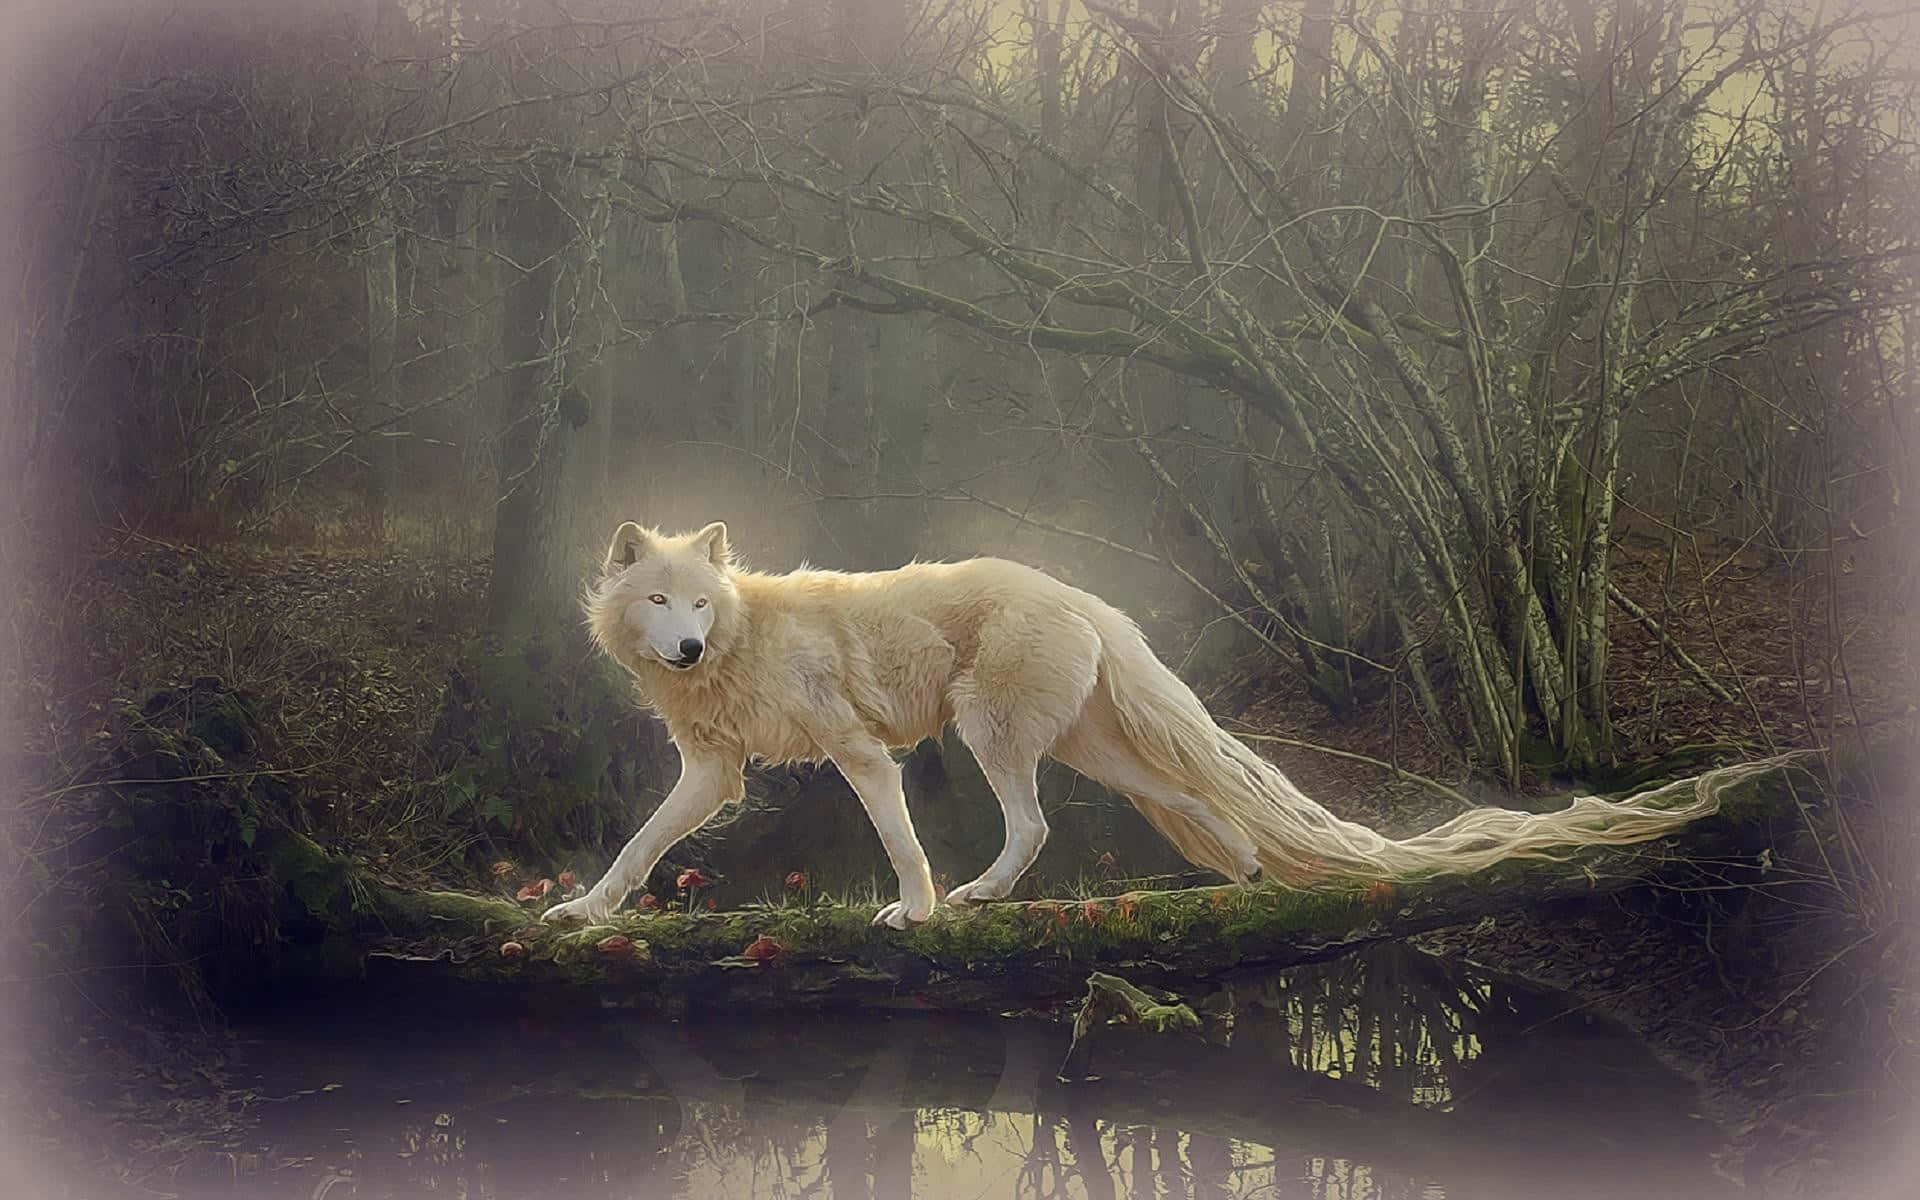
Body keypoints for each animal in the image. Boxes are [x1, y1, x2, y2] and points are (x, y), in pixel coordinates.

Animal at [543, 520, 1729, 929]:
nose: (684, 649)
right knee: (1199, 805)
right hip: (1099, 757)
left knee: (1033, 831)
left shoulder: (861, 752)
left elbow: (901, 843)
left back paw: (978, 899)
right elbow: (640, 847)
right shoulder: (714, 776)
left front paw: (916, 912)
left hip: (993, 739)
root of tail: (1085, 595)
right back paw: (1247, 878)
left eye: (701, 602)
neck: (743, 641)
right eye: (659, 601)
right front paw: (584, 915)